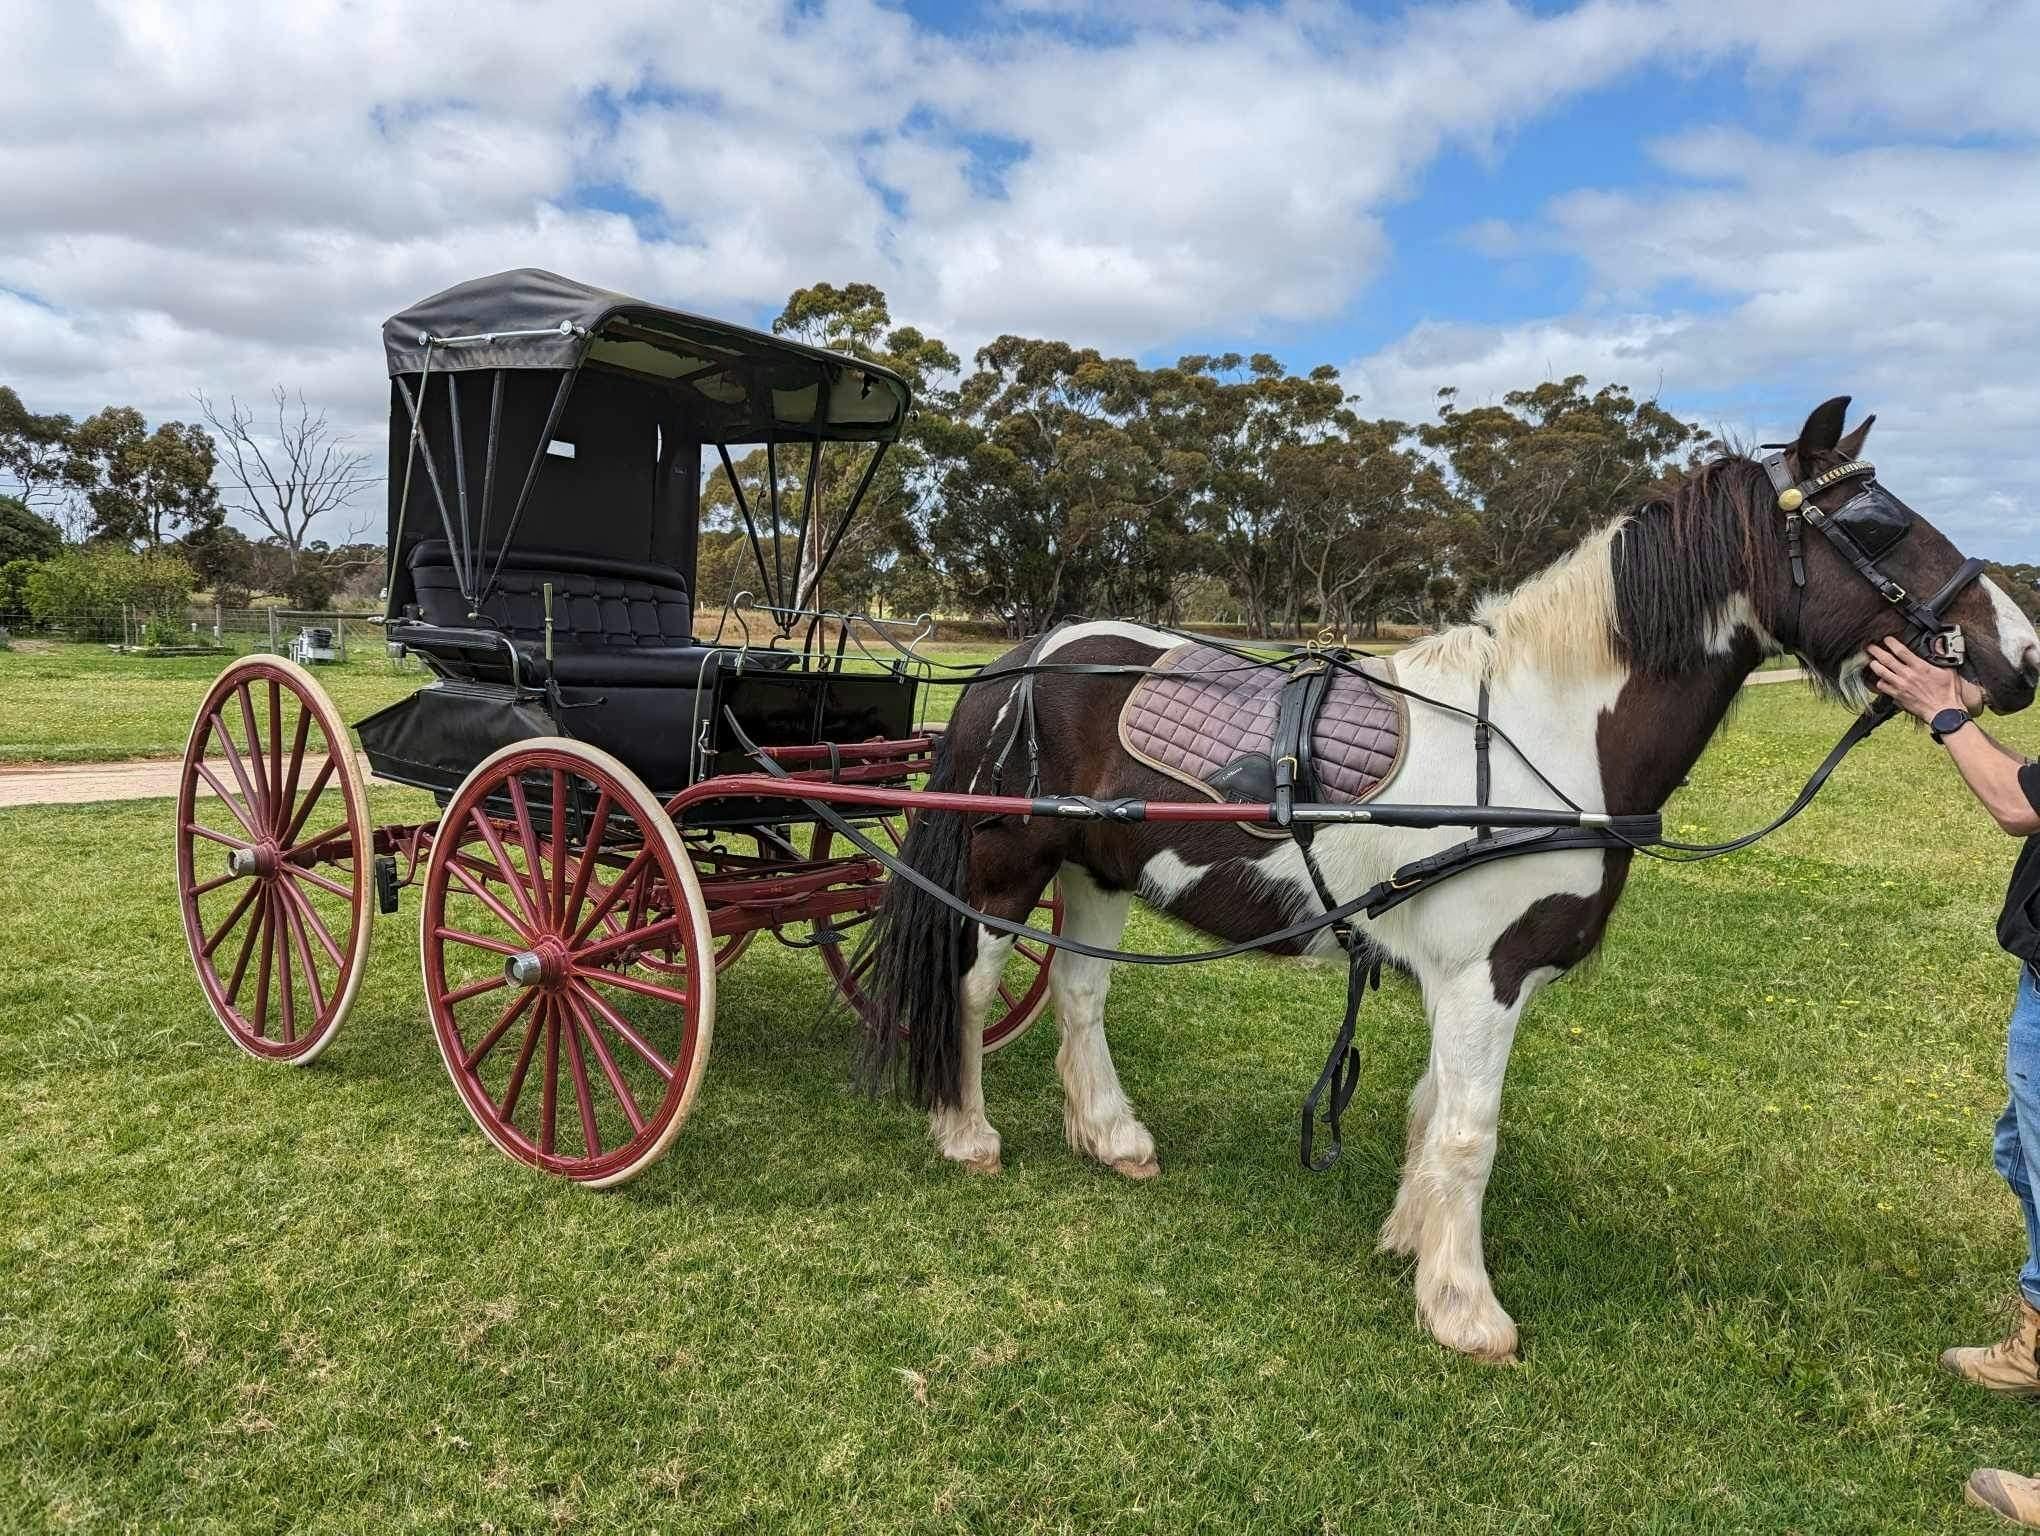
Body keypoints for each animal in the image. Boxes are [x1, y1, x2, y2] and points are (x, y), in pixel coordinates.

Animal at [857, 397, 2040, 1361]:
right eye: (1878, 522)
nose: (2022, 655)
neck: (1540, 737)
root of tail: (1023, 657)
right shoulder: (1488, 976)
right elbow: (1472, 1133)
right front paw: (1466, 1308)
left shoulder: (1457, 979)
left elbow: (1431, 1112)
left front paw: (1413, 1244)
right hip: (1004, 870)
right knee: (970, 989)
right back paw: (964, 1133)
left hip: (1099, 867)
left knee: (1080, 994)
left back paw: (1112, 1137)